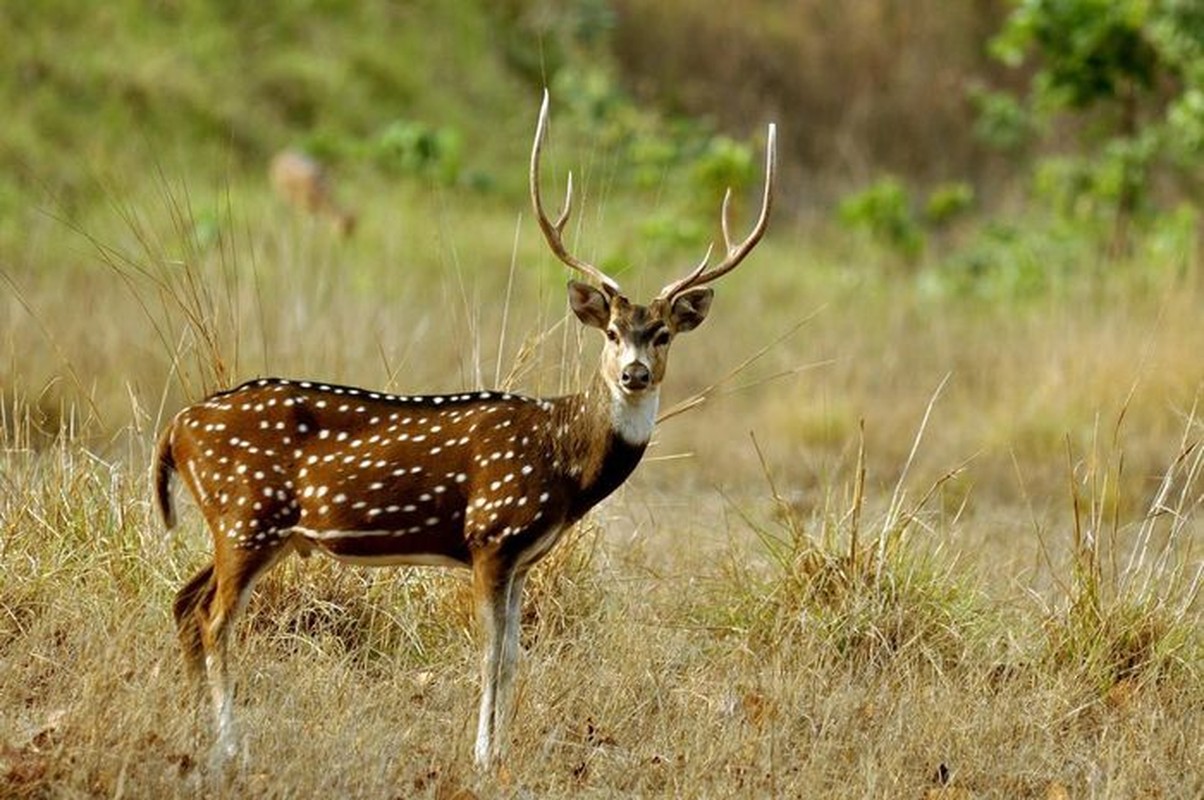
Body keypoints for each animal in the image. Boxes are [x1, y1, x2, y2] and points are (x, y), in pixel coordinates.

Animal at [155, 93, 775, 771]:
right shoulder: (491, 534)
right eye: (611, 332)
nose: (634, 374)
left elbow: (514, 659)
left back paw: (194, 728)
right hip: (247, 512)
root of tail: (177, 429)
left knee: (185, 603)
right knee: (214, 620)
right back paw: (229, 746)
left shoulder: (525, 557)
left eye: (662, 333)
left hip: (245, 527)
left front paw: (501, 749)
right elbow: (488, 656)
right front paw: (481, 755)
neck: (563, 461)